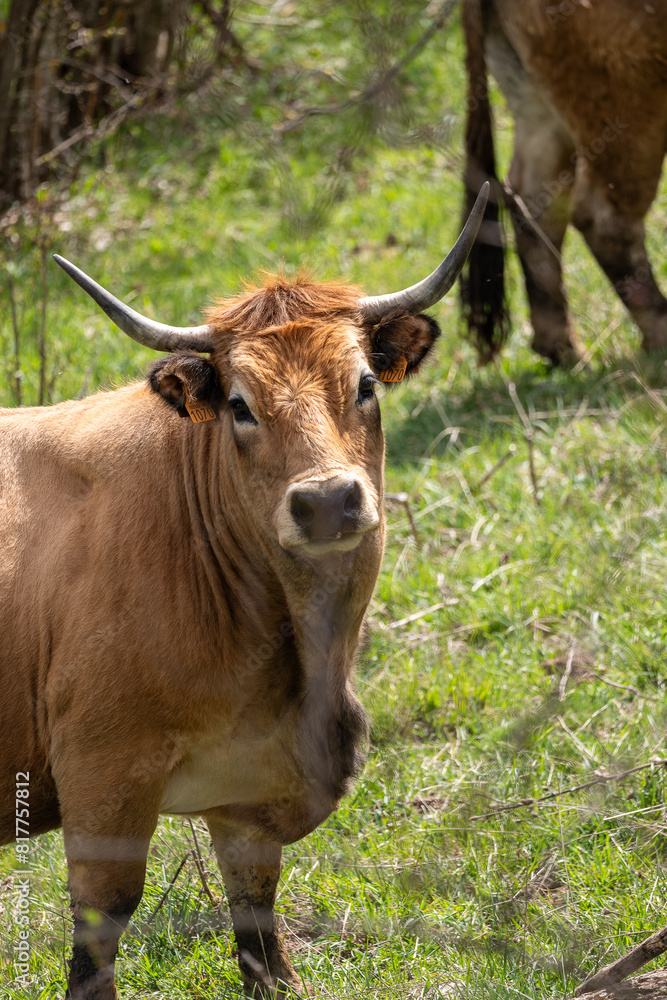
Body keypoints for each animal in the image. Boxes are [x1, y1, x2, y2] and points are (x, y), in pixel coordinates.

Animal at [0, 188, 488, 1000]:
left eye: (363, 384)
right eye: (239, 404)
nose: (325, 501)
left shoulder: (250, 799)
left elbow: (260, 933)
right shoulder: (103, 775)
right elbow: (100, 932)